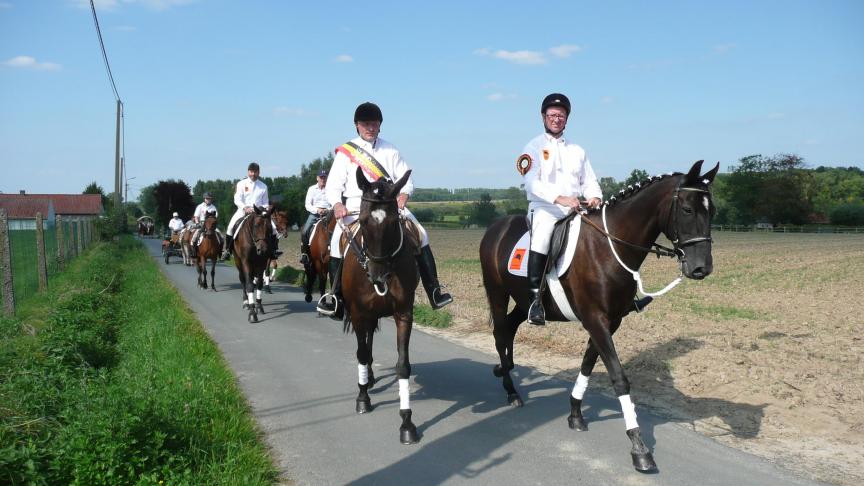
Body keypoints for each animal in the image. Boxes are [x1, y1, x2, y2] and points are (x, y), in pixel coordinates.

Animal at [340, 167, 420, 444]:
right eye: (364, 221)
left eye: (394, 223)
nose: (377, 276)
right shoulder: (357, 313)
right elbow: (361, 354)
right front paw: (363, 398)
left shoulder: (404, 314)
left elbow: (403, 365)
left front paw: (407, 422)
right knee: (364, 347)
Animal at [482, 159, 720, 470]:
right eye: (688, 209)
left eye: (712, 210)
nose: (701, 267)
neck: (609, 246)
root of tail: (495, 227)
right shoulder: (596, 320)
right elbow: (619, 377)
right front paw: (639, 446)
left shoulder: (610, 321)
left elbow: (587, 364)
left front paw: (575, 414)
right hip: (498, 293)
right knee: (500, 333)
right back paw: (511, 391)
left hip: (523, 301)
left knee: (509, 328)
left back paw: (504, 369)